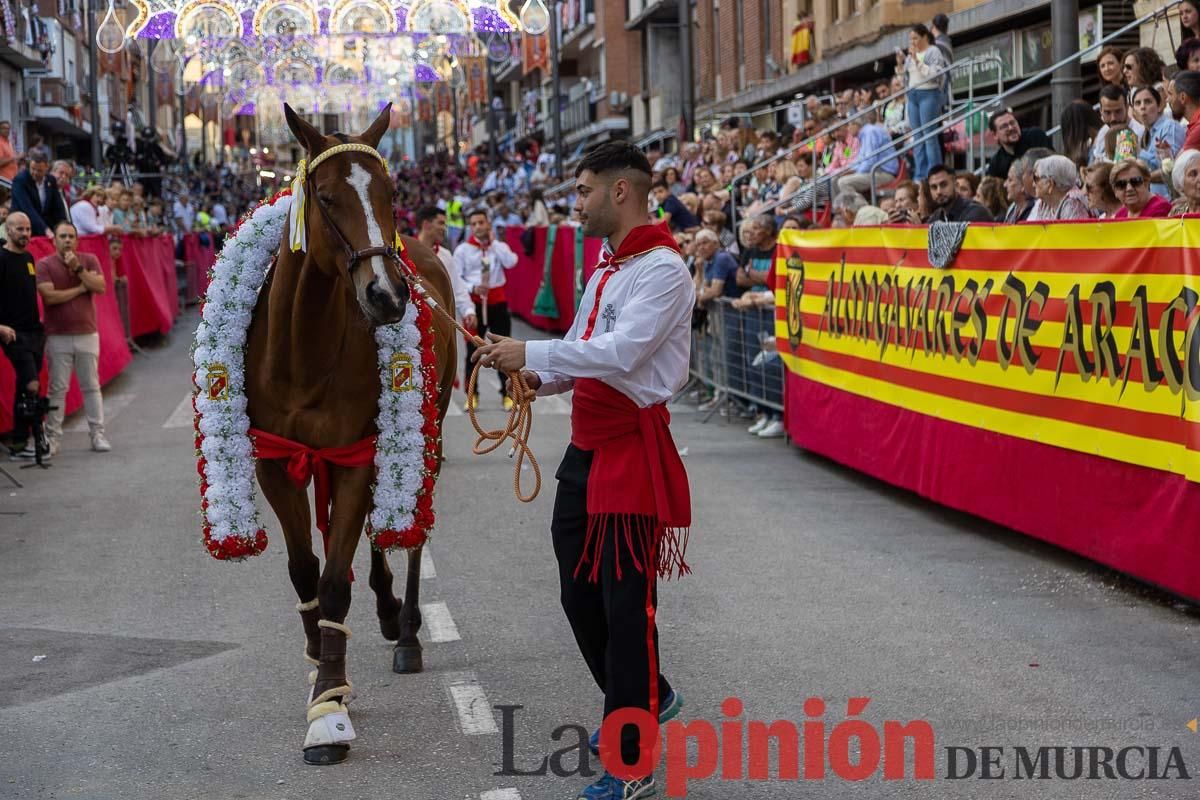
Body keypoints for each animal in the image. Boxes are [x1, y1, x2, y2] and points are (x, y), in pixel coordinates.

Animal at [243, 103, 453, 767]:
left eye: (392, 192)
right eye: (328, 197)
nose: (386, 294)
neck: (304, 351)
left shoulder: (356, 453)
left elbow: (335, 581)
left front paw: (329, 710)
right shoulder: (278, 460)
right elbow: (305, 571)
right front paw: (320, 666)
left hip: (427, 432)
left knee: (407, 531)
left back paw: (405, 631)